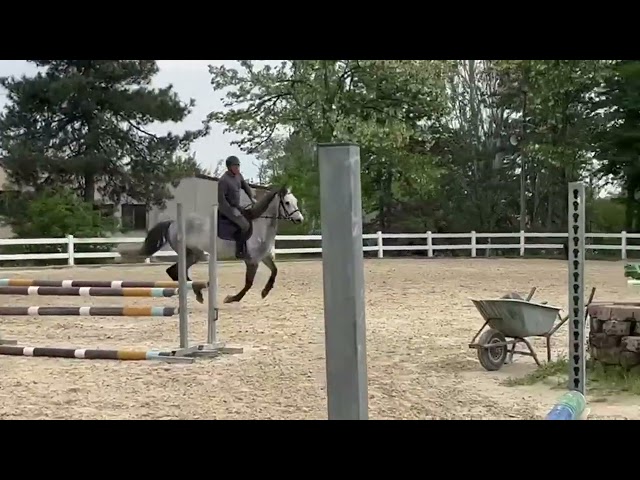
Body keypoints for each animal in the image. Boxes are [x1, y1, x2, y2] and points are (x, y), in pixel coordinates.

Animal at [119, 186, 304, 304]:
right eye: (287, 203)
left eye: (295, 200)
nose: (300, 219)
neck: (260, 225)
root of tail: (173, 223)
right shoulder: (251, 260)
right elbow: (248, 283)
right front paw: (231, 299)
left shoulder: (264, 257)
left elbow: (274, 271)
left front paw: (265, 291)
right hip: (193, 253)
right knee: (176, 271)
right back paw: (198, 290)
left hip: (194, 255)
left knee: (173, 271)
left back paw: (197, 292)